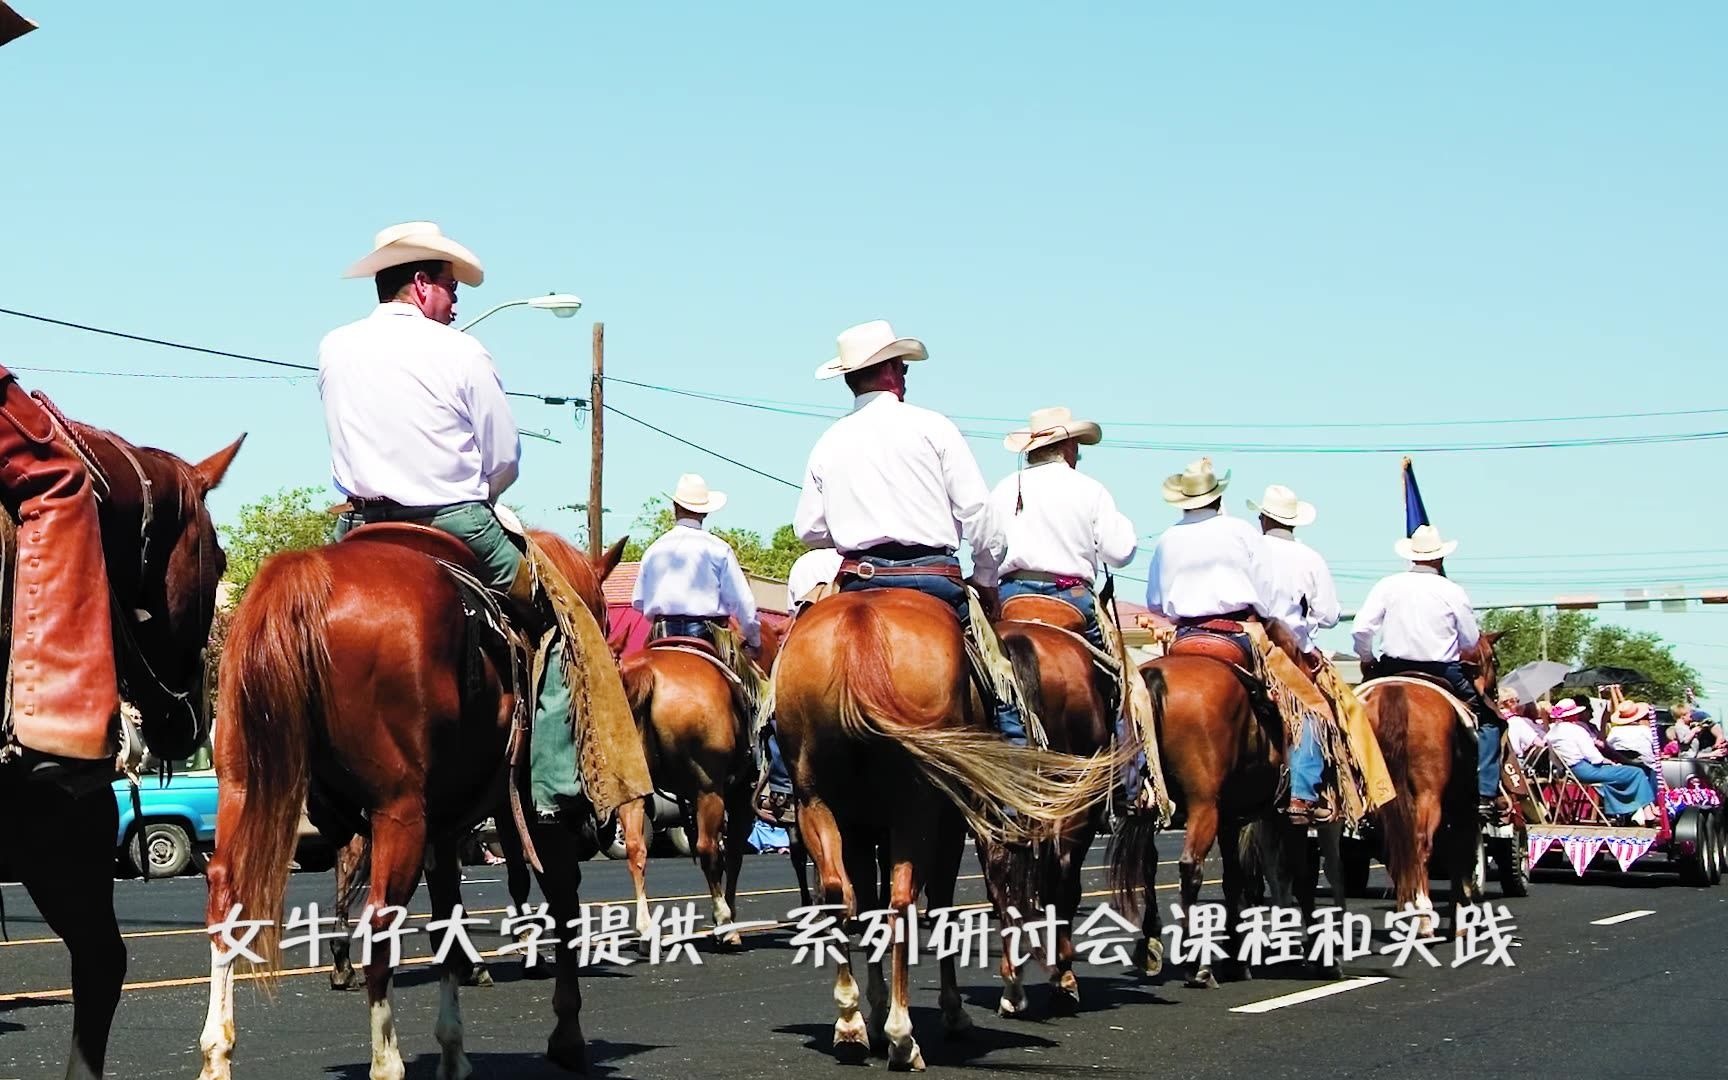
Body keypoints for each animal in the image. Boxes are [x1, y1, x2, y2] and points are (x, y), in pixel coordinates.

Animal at [197, 514, 628, 1078]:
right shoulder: (532, 814)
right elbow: (560, 898)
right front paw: (567, 1033)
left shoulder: (444, 829)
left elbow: (447, 918)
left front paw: (453, 1048)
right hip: (398, 813)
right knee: (380, 920)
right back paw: (386, 1060)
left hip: (245, 788)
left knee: (227, 900)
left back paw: (218, 1052)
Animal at [770, 590, 1119, 1071]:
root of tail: (859, 626)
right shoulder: (953, 823)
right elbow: (945, 907)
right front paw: (953, 1012)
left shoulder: (863, 826)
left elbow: (869, 904)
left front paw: (872, 1016)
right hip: (925, 807)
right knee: (919, 899)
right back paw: (906, 1036)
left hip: (816, 803)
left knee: (842, 894)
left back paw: (851, 1026)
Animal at [1361, 632, 1499, 933]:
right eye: (1493, 659)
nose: (1493, 695)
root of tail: (1397, 690)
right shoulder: (1463, 807)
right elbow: (1460, 854)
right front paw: (1461, 912)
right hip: (1429, 795)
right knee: (1421, 843)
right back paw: (1423, 914)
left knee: (1395, 847)